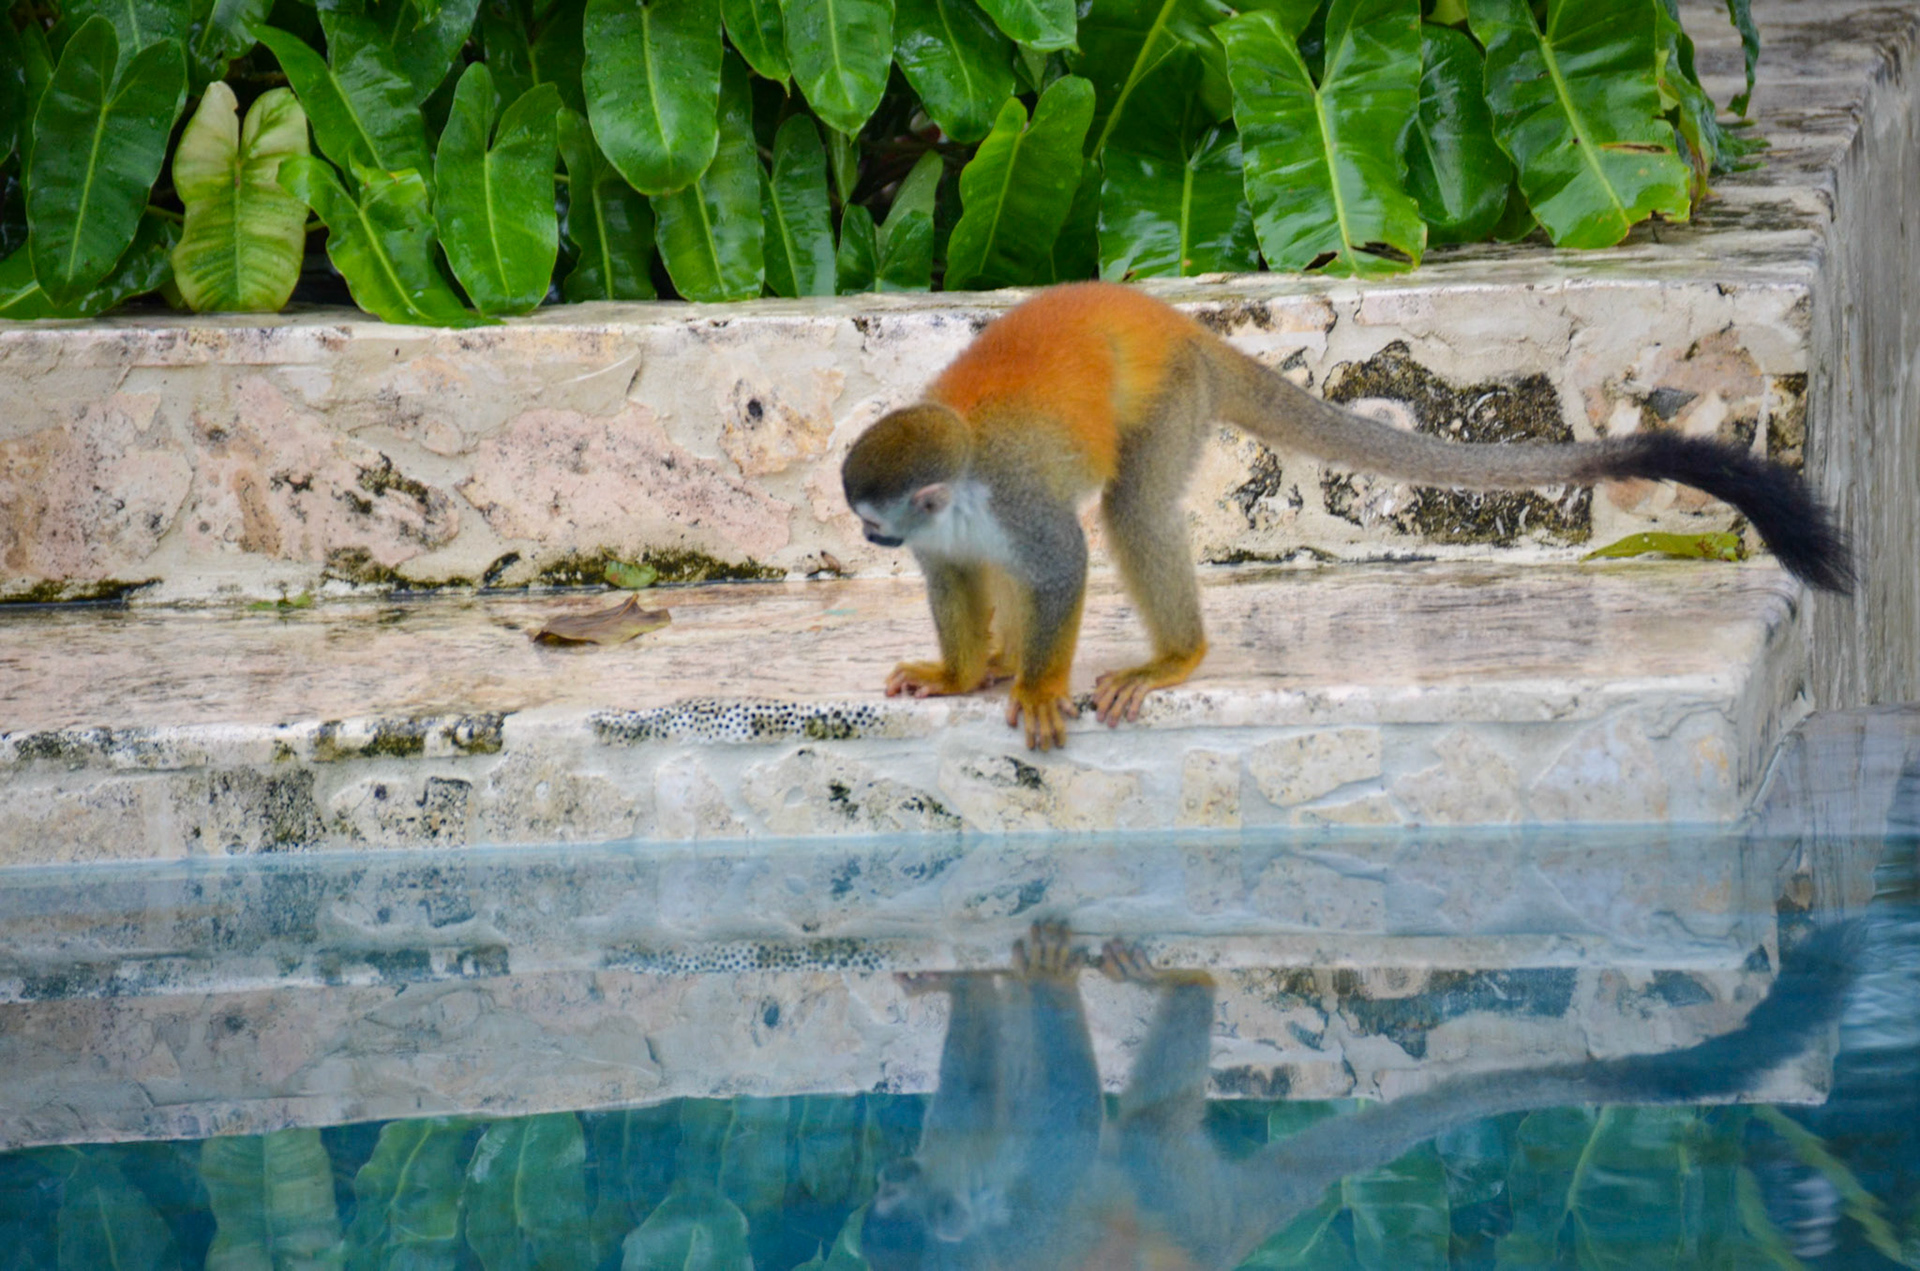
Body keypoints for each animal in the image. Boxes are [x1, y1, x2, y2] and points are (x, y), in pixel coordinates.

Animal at [841, 282, 1853, 749]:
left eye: (868, 516)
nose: (866, 534)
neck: (962, 485)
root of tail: (1178, 320)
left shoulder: (1014, 495)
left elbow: (1061, 563)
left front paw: (1041, 687)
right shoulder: (946, 534)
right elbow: (957, 575)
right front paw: (959, 672)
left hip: (1173, 396)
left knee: (1131, 510)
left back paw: (1176, 656)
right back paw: (1001, 661)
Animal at [861, 920, 1865, 1271]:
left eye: (899, 1198)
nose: (891, 1186)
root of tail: (1220, 1244)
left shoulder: (1004, 1216)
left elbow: (1046, 1120)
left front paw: (993, 976)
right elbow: (1025, 1115)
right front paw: (977, 983)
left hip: (1172, 1198)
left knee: (1134, 1135)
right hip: (1178, 1193)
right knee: (1147, 1127)